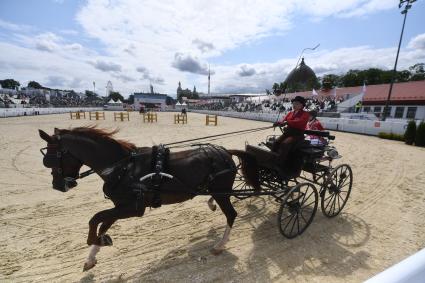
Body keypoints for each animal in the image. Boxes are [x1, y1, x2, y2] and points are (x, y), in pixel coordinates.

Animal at [38, 127, 258, 272]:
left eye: (51, 159)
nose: (58, 186)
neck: (123, 168)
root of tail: (225, 151)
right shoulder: (120, 205)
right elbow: (103, 224)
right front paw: (93, 254)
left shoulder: (134, 208)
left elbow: (95, 219)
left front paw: (97, 240)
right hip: (217, 190)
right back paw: (211, 205)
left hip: (221, 190)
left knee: (231, 214)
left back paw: (220, 244)